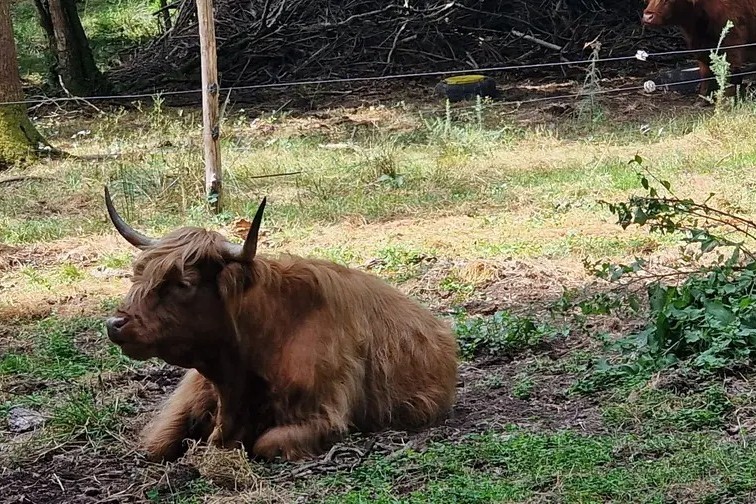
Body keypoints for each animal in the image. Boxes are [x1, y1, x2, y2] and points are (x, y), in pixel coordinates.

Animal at [102, 187, 459, 462]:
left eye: (182, 283)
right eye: (137, 273)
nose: (115, 323)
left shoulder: (325, 417)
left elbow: (264, 443)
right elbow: (157, 445)